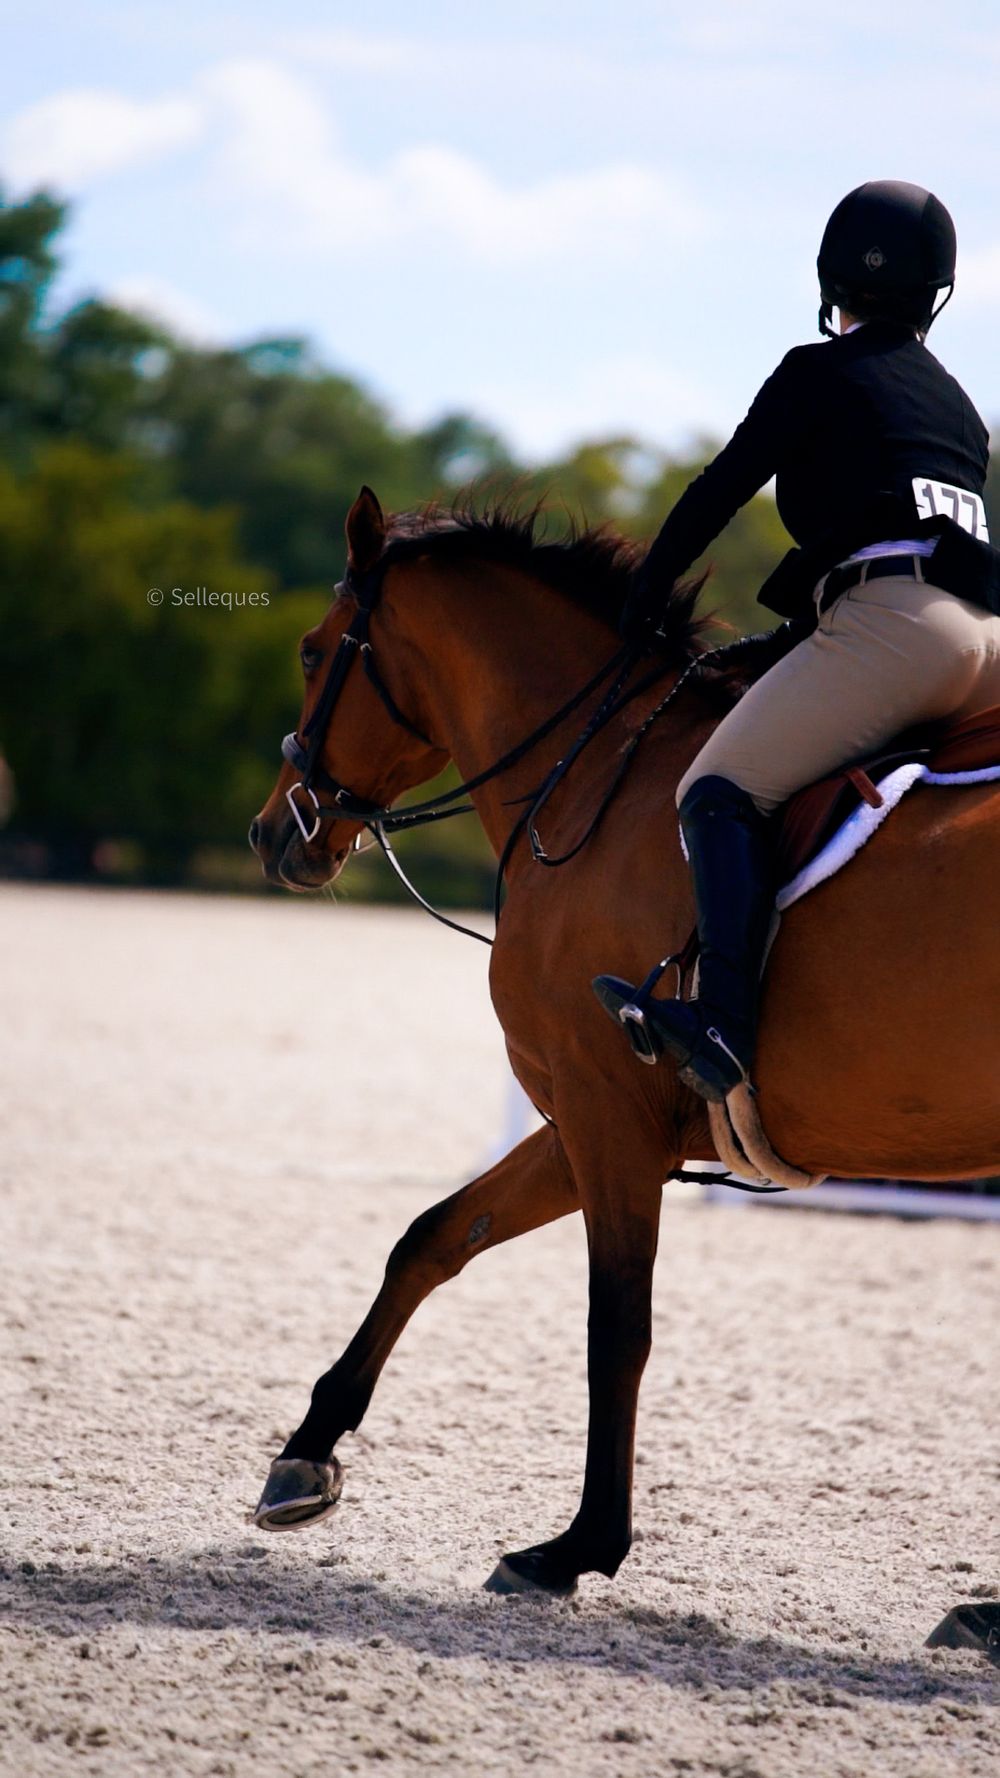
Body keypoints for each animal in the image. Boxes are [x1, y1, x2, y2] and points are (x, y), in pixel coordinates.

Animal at [248, 485, 1000, 1599]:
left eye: (310, 652)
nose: (272, 834)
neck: (598, 773)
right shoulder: (587, 1117)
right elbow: (432, 1237)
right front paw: (304, 1457)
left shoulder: (610, 1116)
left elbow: (617, 1327)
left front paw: (578, 1545)